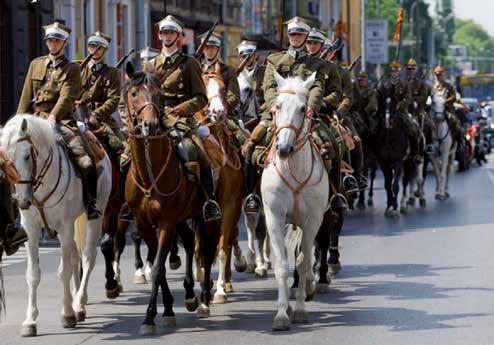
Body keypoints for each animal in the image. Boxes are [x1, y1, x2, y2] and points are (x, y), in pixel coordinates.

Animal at [0, 114, 111, 334]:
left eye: (27, 156)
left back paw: (79, 304)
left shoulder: (65, 227)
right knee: (76, 256)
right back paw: (78, 303)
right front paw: (30, 321)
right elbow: (33, 274)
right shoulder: (31, 230)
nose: (22, 201)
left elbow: (64, 271)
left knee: (87, 257)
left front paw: (67, 314)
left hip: (96, 214)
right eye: (5, 160)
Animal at [122, 65, 221, 334]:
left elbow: (157, 266)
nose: (150, 124)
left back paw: (204, 300)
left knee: (206, 252)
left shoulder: (166, 223)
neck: (149, 173)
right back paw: (189, 295)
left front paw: (149, 317)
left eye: (159, 95)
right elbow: (161, 265)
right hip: (182, 219)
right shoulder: (145, 224)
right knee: (188, 242)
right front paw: (165, 309)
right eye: (133, 93)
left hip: (205, 217)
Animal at [262, 71, 328, 330]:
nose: (284, 148)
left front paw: (299, 309)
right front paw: (282, 313)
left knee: (306, 257)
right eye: (278, 106)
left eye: (303, 108)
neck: (293, 169)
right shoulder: (274, 217)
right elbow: (282, 265)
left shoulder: (313, 220)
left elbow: (302, 261)